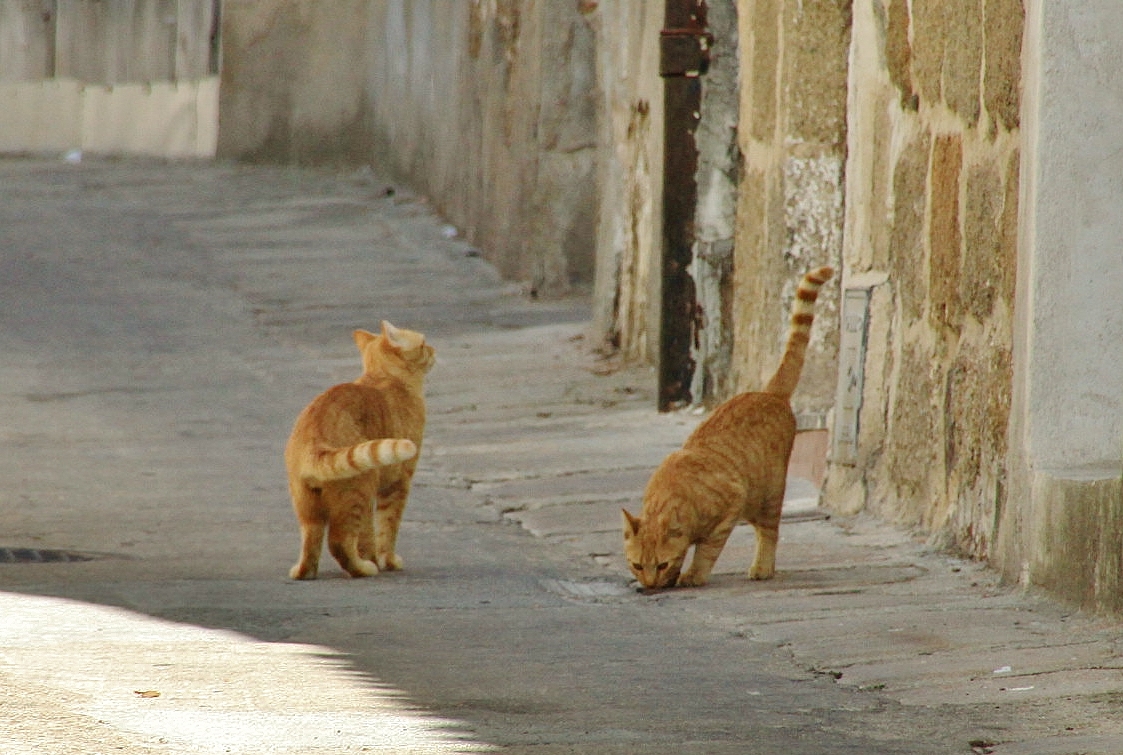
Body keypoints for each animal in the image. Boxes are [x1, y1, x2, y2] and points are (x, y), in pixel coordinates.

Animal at [285, 319, 433, 579]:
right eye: (424, 344)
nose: (434, 350)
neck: (384, 377)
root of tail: (314, 439)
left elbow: (367, 535)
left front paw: (373, 556)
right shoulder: (398, 483)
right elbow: (387, 528)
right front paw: (387, 561)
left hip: (307, 507)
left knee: (312, 543)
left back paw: (305, 571)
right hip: (360, 489)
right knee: (339, 541)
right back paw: (364, 568)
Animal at [624, 265, 835, 588]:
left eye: (660, 564)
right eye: (636, 565)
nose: (649, 586)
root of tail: (769, 393)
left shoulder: (731, 505)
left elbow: (706, 550)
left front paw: (692, 574)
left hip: (766, 496)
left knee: (769, 533)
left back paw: (763, 567)